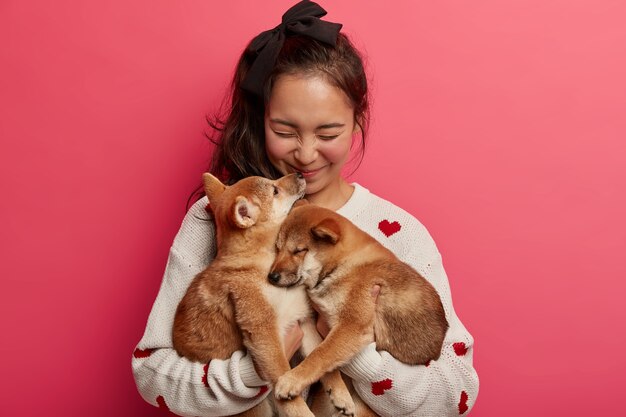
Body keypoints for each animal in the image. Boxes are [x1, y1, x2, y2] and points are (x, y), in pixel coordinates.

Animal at [173, 172, 354, 416]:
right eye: (275, 190)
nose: (299, 173)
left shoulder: (303, 322)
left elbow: (320, 362)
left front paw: (341, 394)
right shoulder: (264, 334)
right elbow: (283, 379)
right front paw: (301, 410)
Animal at [268, 202, 448, 406]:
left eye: (298, 251)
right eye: (277, 248)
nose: (272, 276)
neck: (343, 263)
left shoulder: (351, 325)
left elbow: (320, 354)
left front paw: (292, 380)